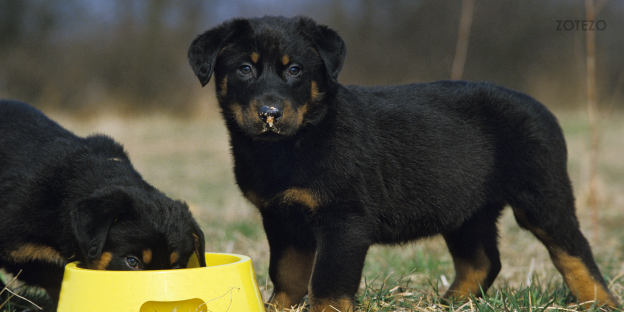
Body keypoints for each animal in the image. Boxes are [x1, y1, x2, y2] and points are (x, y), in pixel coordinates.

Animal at [188, 16, 616, 312]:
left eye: (295, 70)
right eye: (244, 69)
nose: (270, 113)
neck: (290, 145)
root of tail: (542, 109)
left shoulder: (344, 219)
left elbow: (327, 284)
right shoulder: (281, 216)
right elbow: (288, 274)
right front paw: (278, 307)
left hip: (541, 194)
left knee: (574, 250)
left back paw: (600, 301)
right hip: (466, 208)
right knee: (482, 261)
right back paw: (448, 304)